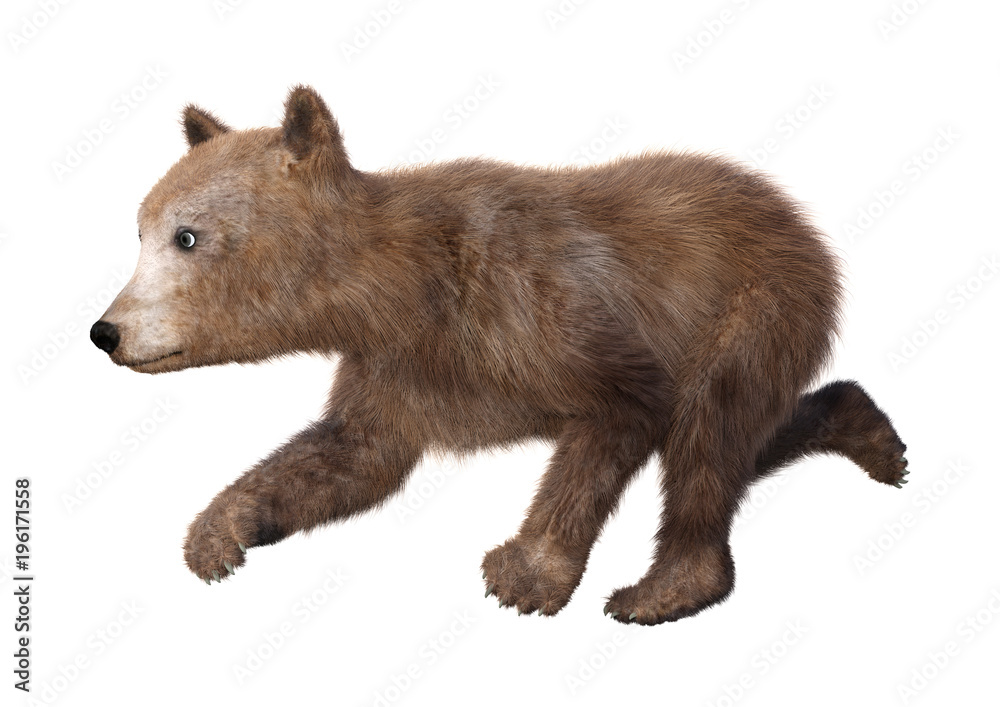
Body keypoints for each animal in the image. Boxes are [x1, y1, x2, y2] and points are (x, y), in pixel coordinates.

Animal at [90, 85, 908, 625]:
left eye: (187, 236)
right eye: (140, 230)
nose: (107, 330)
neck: (403, 291)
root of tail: (794, 212)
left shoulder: (532, 303)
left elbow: (626, 404)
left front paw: (525, 571)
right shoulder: (396, 366)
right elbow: (355, 454)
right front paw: (220, 529)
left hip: (756, 302)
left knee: (710, 426)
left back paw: (660, 590)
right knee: (742, 434)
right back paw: (869, 432)